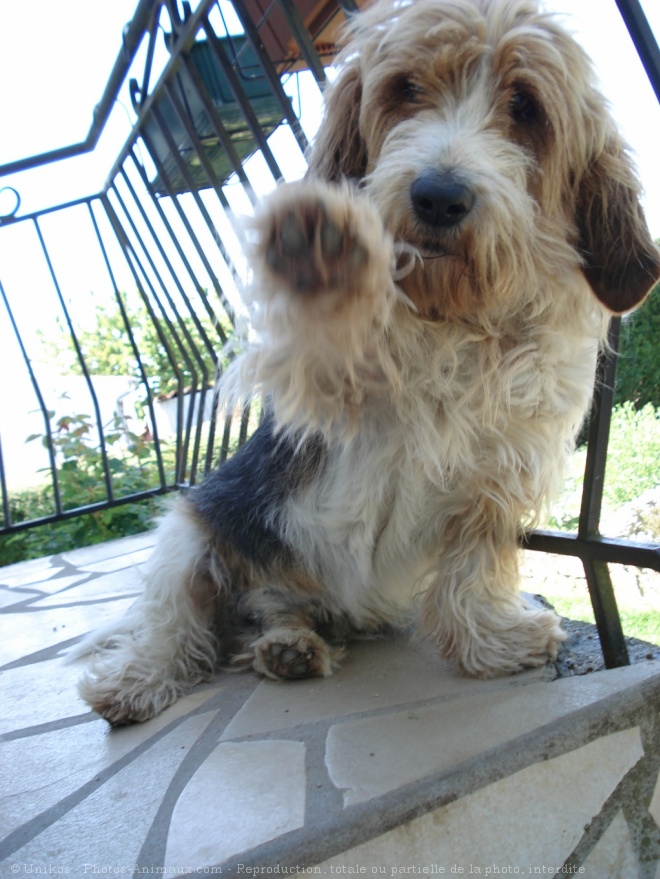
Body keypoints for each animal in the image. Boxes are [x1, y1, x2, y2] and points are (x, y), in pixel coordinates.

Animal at [78, 0, 660, 724]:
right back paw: (137, 678)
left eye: (525, 106)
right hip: (194, 529)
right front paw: (325, 244)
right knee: (176, 622)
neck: (450, 318)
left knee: (268, 617)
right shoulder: (317, 386)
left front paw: (491, 641)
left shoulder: (503, 470)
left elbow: (475, 567)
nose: (438, 196)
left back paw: (290, 645)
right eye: (406, 89)